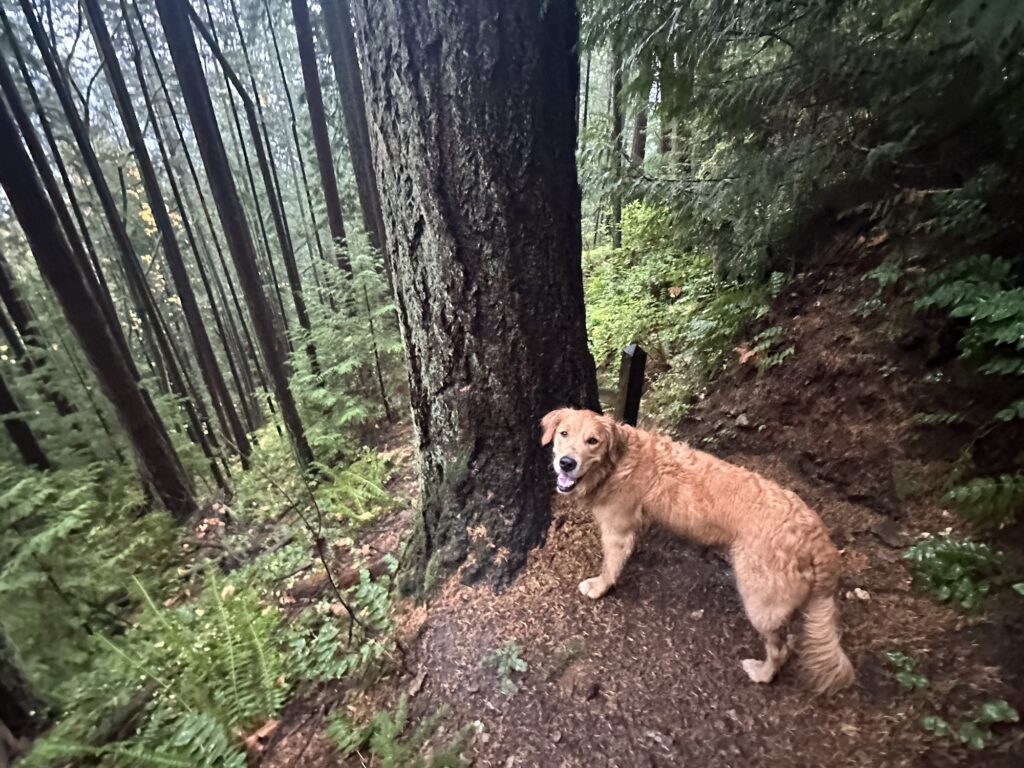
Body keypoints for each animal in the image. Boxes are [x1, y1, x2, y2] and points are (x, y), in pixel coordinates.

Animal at [544, 409, 856, 696]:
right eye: (564, 433)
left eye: (592, 441)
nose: (566, 463)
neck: (618, 461)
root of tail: (819, 541)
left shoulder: (617, 530)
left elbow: (610, 567)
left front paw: (598, 588)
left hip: (760, 602)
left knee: (779, 650)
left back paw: (762, 673)